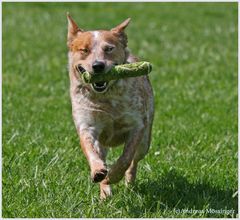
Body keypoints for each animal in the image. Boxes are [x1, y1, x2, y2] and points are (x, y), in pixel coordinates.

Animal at [66, 13, 155, 199]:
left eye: (109, 49)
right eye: (84, 50)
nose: (98, 65)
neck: (106, 100)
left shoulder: (137, 125)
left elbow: (126, 158)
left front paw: (114, 176)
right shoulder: (87, 125)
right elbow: (91, 151)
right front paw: (99, 172)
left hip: (145, 142)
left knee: (134, 161)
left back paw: (129, 185)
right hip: (103, 143)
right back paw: (105, 192)